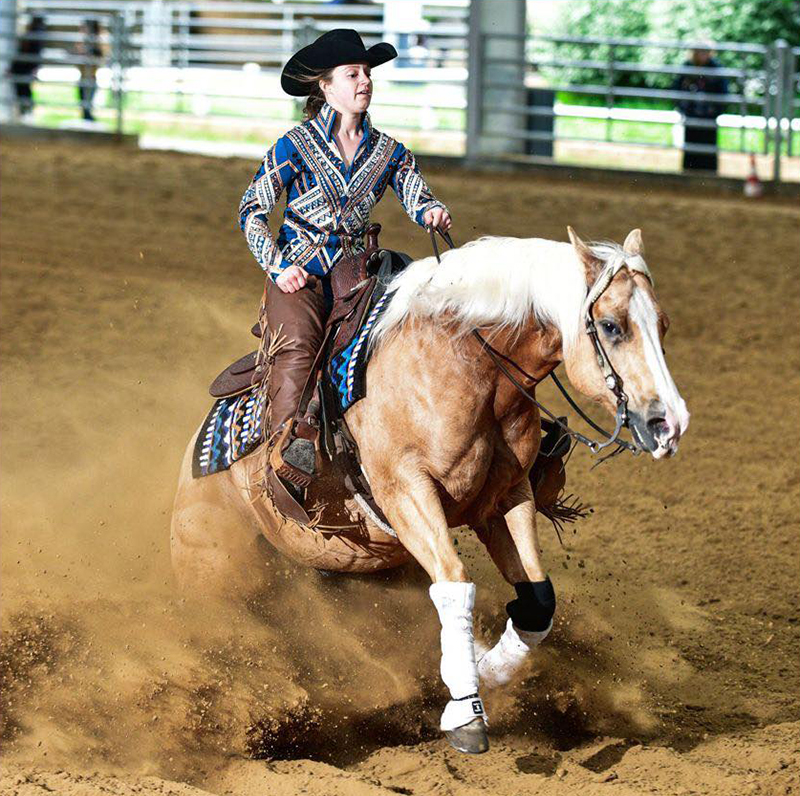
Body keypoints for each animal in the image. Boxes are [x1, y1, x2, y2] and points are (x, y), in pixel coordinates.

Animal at [172, 229, 692, 752]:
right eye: (610, 326)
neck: (465, 367)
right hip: (215, 570)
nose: (669, 423)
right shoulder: (407, 493)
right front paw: (467, 712)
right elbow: (454, 581)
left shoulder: (507, 498)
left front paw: (485, 667)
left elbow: (538, 601)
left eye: (664, 324)